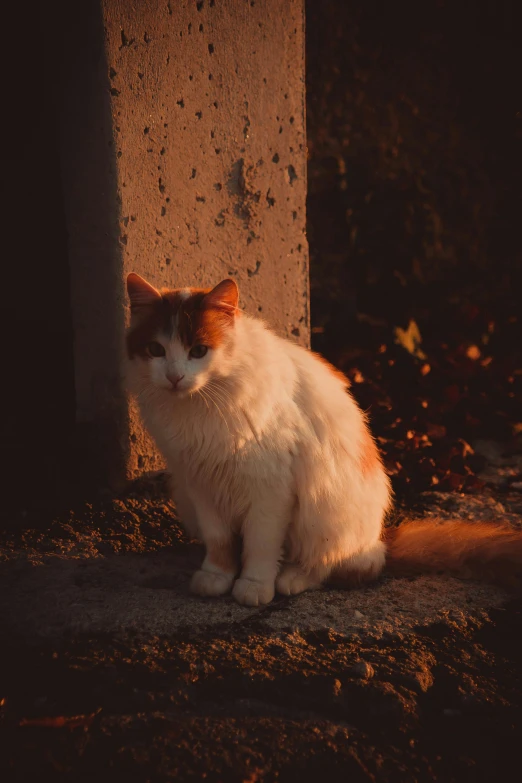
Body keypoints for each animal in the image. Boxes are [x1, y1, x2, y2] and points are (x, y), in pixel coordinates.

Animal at [125, 276, 520, 608]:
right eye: (156, 350)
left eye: (199, 351)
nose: (175, 377)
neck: (200, 407)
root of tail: (380, 538)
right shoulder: (201, 484)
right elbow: (220, 542)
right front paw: (216, 578)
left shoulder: (270, 490)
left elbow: (260, 545)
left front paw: (253, 586)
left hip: (324, 506)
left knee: (335, 565)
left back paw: (291, 578)